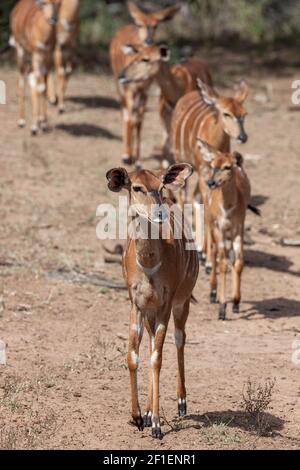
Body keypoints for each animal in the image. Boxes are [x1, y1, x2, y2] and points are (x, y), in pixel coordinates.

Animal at [9, 0, 61, 134]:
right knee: (22, 80)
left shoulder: (48, 57)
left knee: (32, 80)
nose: (53, 18)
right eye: (45, 3)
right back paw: (21, 121)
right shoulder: (36, 54)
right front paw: (34, 127)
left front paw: (43, 124)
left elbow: (44, 87)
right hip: (21, 51)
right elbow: (40, 87)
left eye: (58, 3)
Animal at [106, 164, 199, 436]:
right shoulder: (136, 303)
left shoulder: (166, 302)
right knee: (149, 345)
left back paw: (181, 403)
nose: (158, 213)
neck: (149, 264)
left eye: (160, 186)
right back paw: (147, 413)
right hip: (150, 312)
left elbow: (157, 359)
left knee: (179, 339)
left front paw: (157, 424)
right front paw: (138, 416)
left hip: (182, 303)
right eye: (137, 187)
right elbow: (133, 356)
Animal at [110, 1, 180, 165]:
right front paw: (127, 156)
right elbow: (130, 118)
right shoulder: (129, 89)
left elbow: (139, 121)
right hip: (119, 86)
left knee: (136, 117)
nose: (148, 40)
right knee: (125, 113)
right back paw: (126, 153)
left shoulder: (144, 91)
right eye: (140, 24)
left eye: (156, 25)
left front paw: (138, 161)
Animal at [171, 79, 248, 270]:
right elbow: (206, 206)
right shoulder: (205, 171)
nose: (242, 136)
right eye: (226, 113)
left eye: (244, 114)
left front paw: (209, 254)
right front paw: (209, 260)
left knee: (194, 196)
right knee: (183, 197)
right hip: (181, 161)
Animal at [197, 140, 251, 322]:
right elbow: (222, 263)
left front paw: (235, 302)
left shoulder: (238, 228)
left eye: (228, 166)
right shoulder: (218, 227)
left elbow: (239, 262)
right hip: (210, 223)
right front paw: (222, 308)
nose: (211, 183)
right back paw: (213, 293)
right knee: (215, 253)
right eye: (214, 165)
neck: (227, 209)